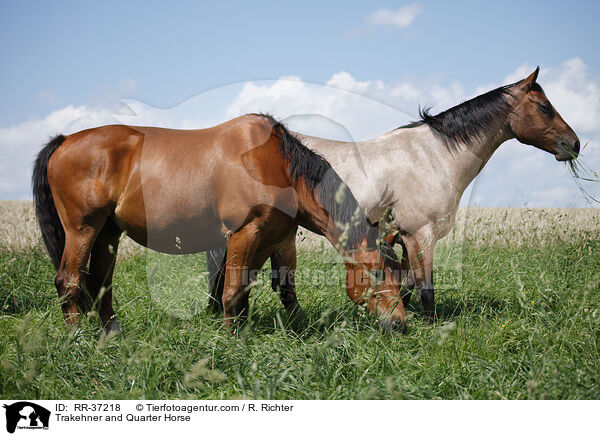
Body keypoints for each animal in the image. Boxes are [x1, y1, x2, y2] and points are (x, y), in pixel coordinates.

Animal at [34, 112, 408, 334]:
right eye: (376, 272)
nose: (400, 323)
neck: (273, 164)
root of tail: (64, 140)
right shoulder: (245, 233)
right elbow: (231, 291)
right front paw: (231, 340)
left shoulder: (276, 238)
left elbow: (276, 289)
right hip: (82, 231)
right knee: (68, 281)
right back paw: (76, 337)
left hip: (107, 234)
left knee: (100, 284)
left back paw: (113, 335)